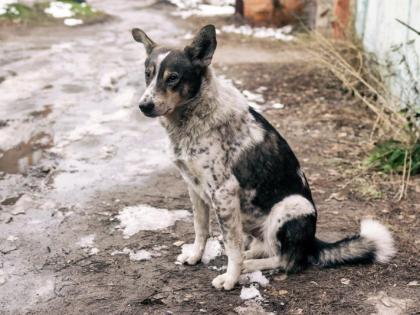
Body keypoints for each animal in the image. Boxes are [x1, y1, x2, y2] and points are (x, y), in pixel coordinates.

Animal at [130, 24, 394, 292]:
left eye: (173, 77)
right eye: (148, 75)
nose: (144, 106)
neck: (189, 120)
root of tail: (312, 243)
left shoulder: (223, 192)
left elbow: (232, 247)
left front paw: (230, 278)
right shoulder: (194, 188)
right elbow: (200, 230)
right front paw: (196, 256)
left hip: (290, 207)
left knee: (286, 260)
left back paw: (249, 266)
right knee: (262, 247)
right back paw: (249, 257)